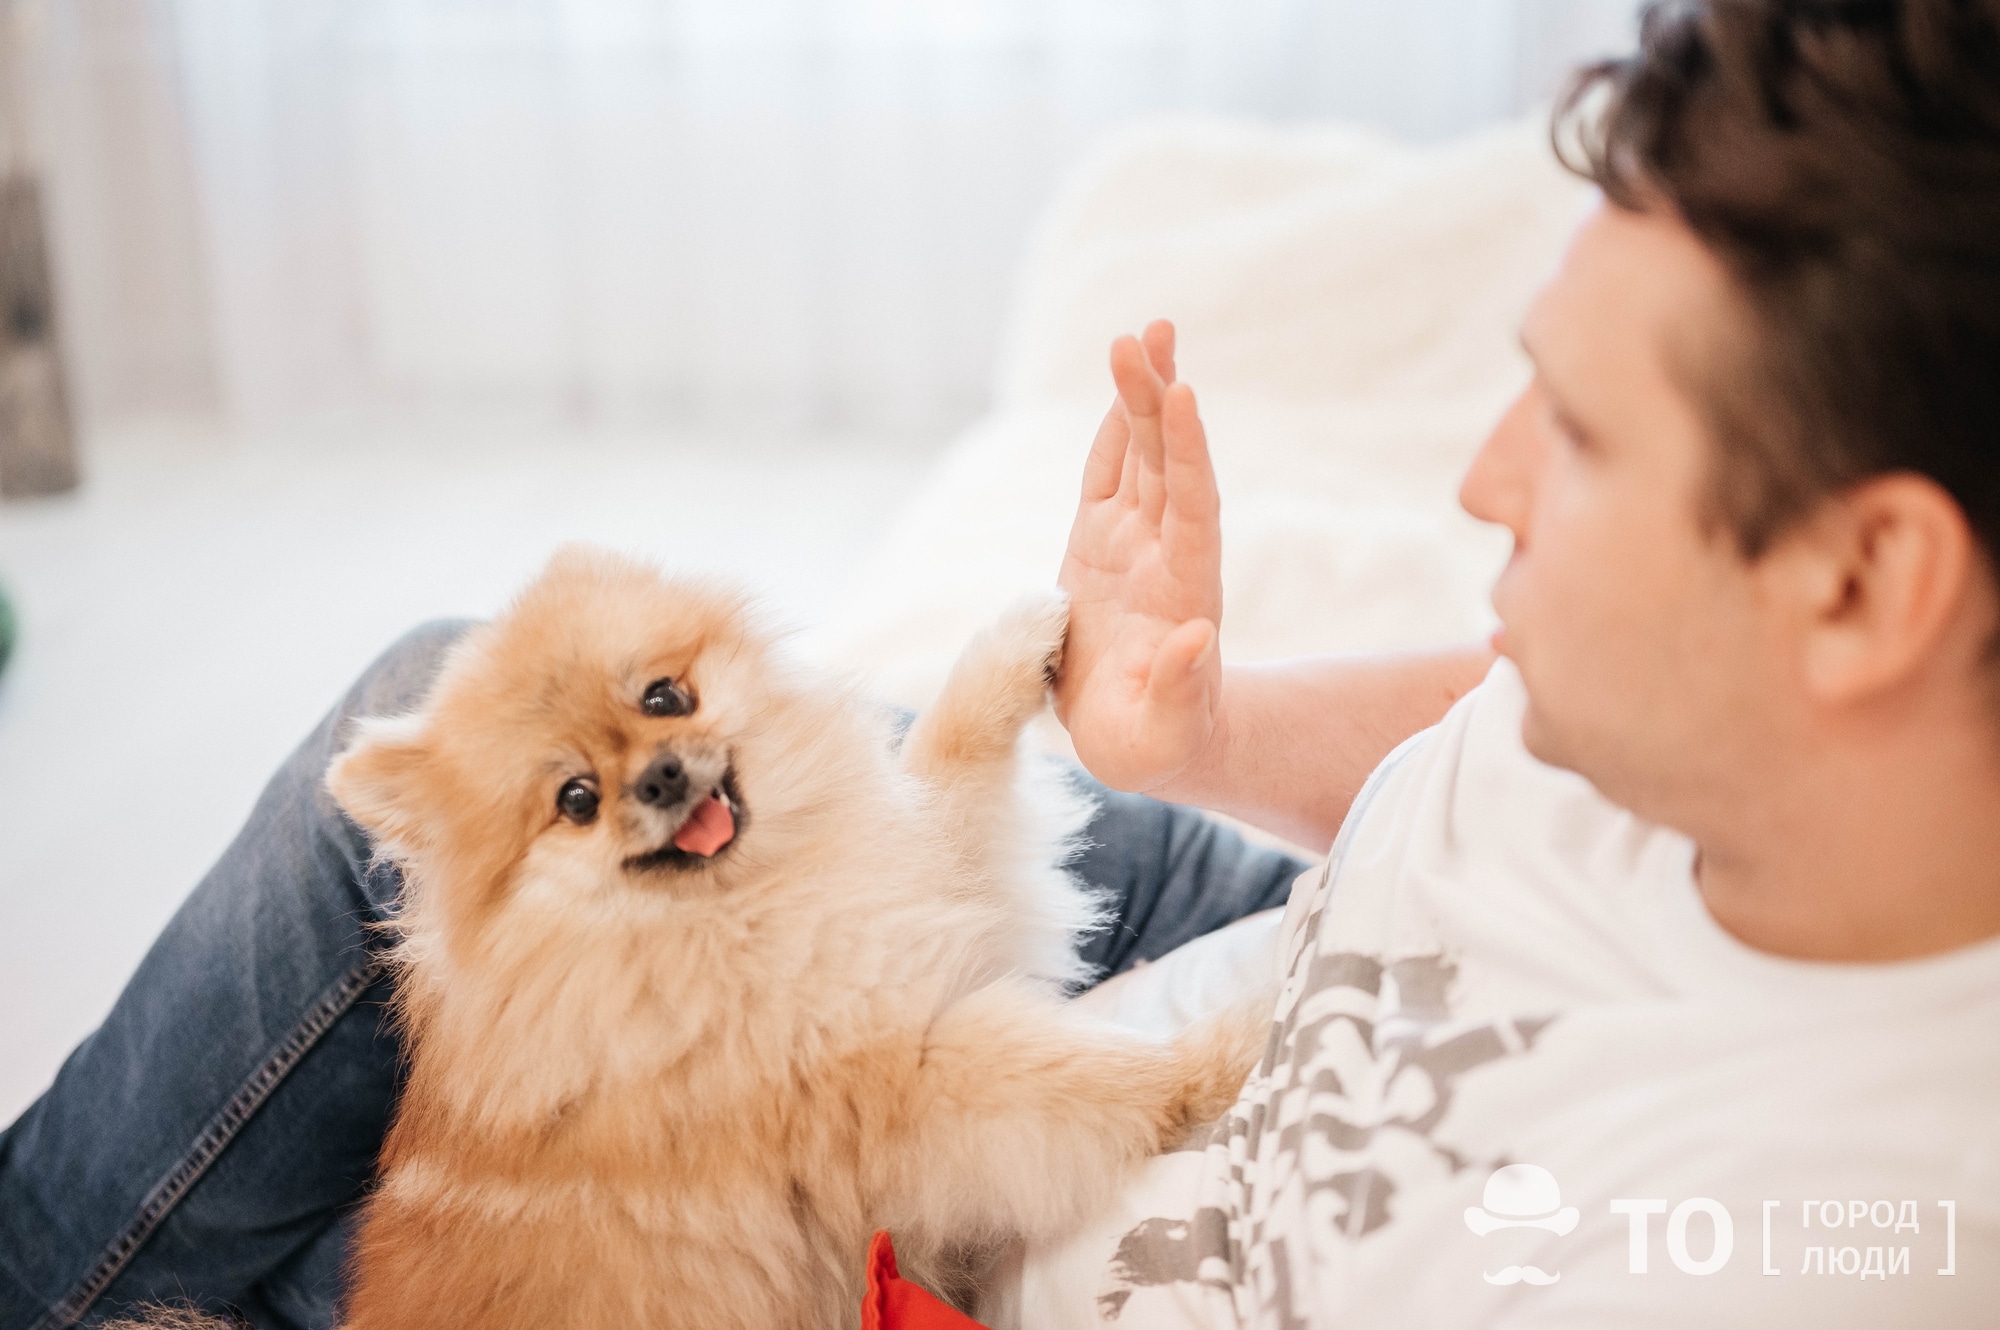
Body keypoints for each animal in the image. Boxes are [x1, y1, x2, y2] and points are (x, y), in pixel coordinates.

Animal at [258, 548, 1256, 1328]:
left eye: (665, 697)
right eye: (575, 799)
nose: (661, 776)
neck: (735, 910)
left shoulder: (912, 895)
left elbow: (943, 755)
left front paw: (1018, 637)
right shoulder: (907, 1089)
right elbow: (1107, 1073)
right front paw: (1238, 1045)